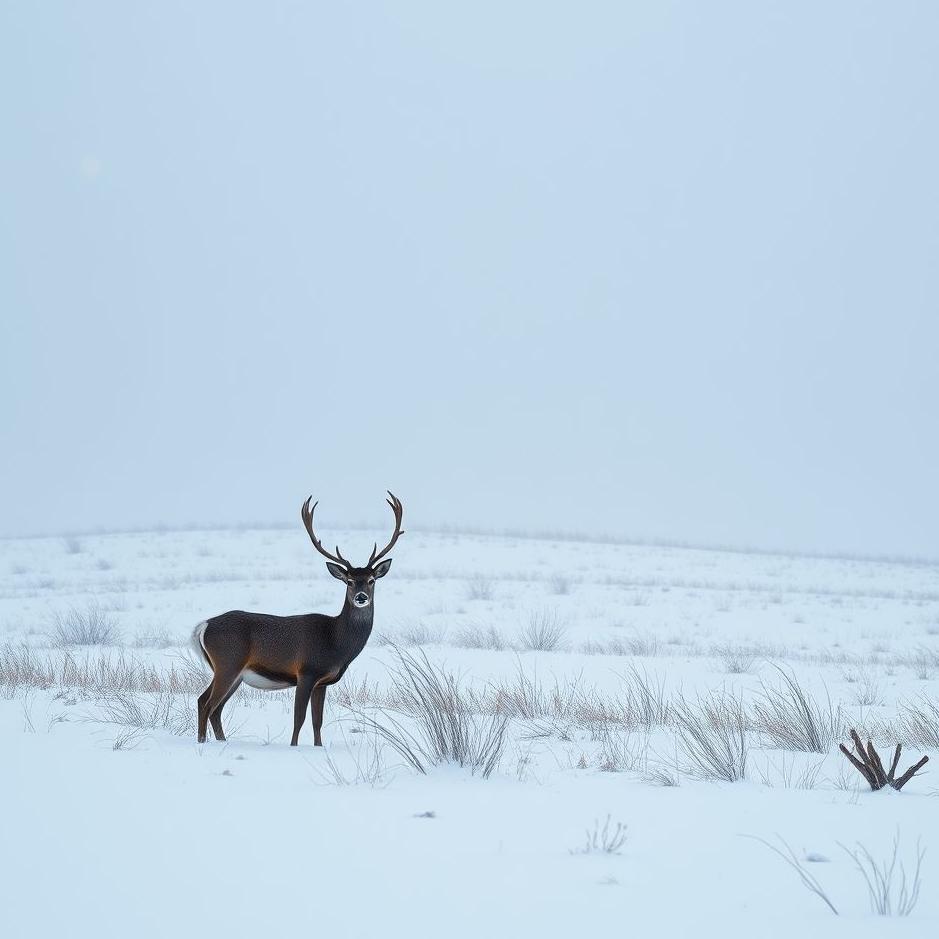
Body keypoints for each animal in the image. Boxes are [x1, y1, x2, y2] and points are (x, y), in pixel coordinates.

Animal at [193, 491, 403, 746]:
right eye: (349, 581)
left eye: (372, 580)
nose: (361, 597)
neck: (335, 641)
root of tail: (204, 626)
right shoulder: (306, 671)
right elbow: (299, 718)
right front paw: (294, 748)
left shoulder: (322, 682)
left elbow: (317, 721)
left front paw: (318, 747)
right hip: (228, 663)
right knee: (206, 704)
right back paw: (202, 743)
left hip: (233, 673)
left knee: (213, 707)